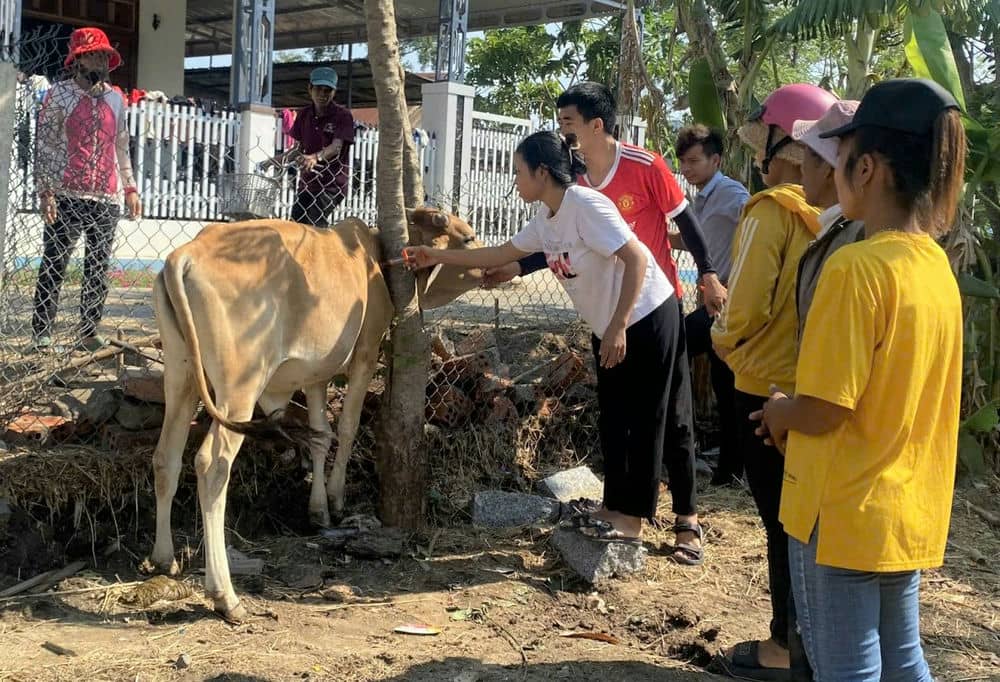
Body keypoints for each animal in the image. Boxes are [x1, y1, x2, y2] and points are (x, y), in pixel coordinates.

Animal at [147, 210, 484, 620]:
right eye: (468, 238)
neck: (374, 257)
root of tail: (186, 254)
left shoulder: (315, 377)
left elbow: (321, 437)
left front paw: (318, 510)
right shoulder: (366, 353)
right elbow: (348, 426)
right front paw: (336, 499)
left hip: (180, 377)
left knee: (166, 458)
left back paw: (163, 558)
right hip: (239, 388)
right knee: (211, 465)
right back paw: (225, 595)